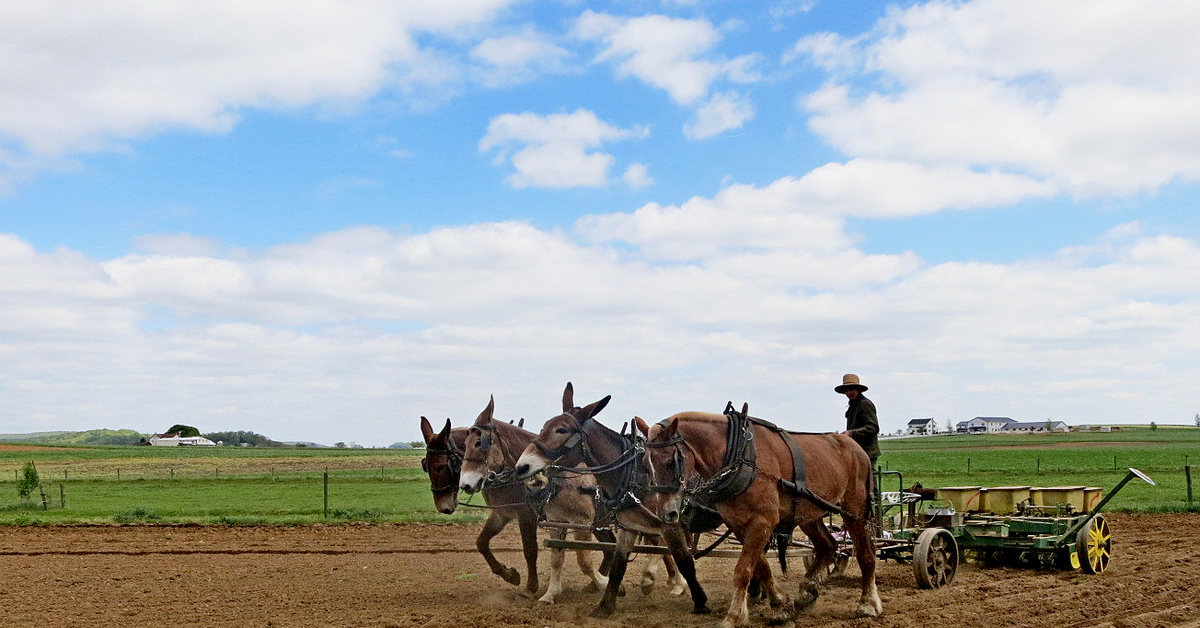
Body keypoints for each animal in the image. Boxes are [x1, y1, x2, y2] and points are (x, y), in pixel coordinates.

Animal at [511, 384, 705, 619]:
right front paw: (552, 594)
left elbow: (585, 560)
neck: (633, 474)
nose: (522, 467)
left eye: (562, 430)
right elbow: (562, 559)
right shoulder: (560, 522)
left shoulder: (585, 522)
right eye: (544, 426)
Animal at [633, 413, 878, 628]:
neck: (741, 456)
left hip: (854, 510)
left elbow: (743, 570)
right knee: (828, 546)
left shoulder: (762, 522)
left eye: (670, 461)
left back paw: (868, 604)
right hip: (809, 513)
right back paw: (806, 592)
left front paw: (733, 616)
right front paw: (781, 608)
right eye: (644, 463)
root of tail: (856, 447)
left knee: (865, 554)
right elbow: (762, 567)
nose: (667, 513)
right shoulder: (740, 525)